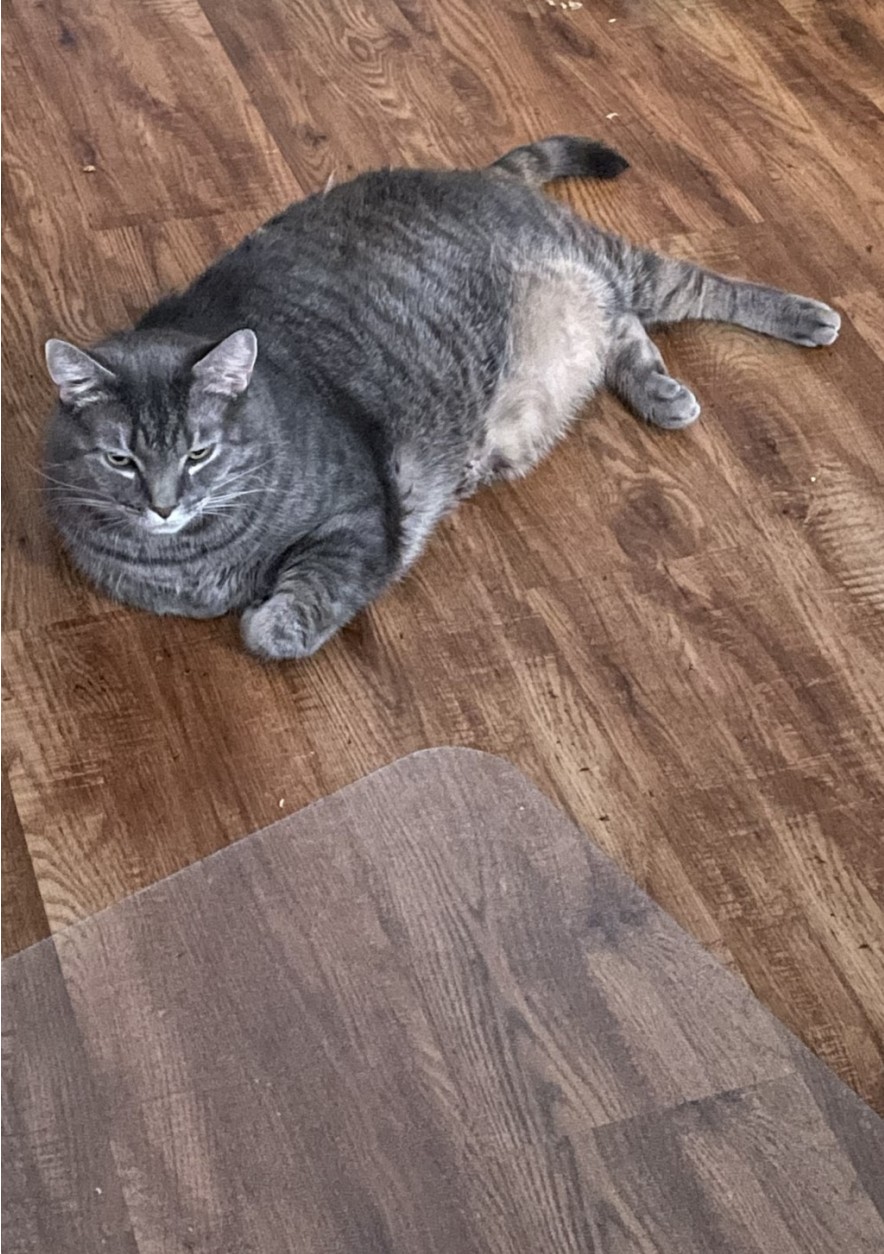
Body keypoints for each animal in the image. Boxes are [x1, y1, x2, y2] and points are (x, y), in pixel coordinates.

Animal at [43, 138, 842, 662]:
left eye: (198, 453)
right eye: (120, 461)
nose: (163, 505)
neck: (191, 558)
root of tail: (475, 173)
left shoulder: (360, 525)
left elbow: (291, 613)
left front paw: (272, 621)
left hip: (617, 265)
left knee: (693, 285)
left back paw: (804, 317)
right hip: (586, 306)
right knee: (623, 329)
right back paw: (659, 389)